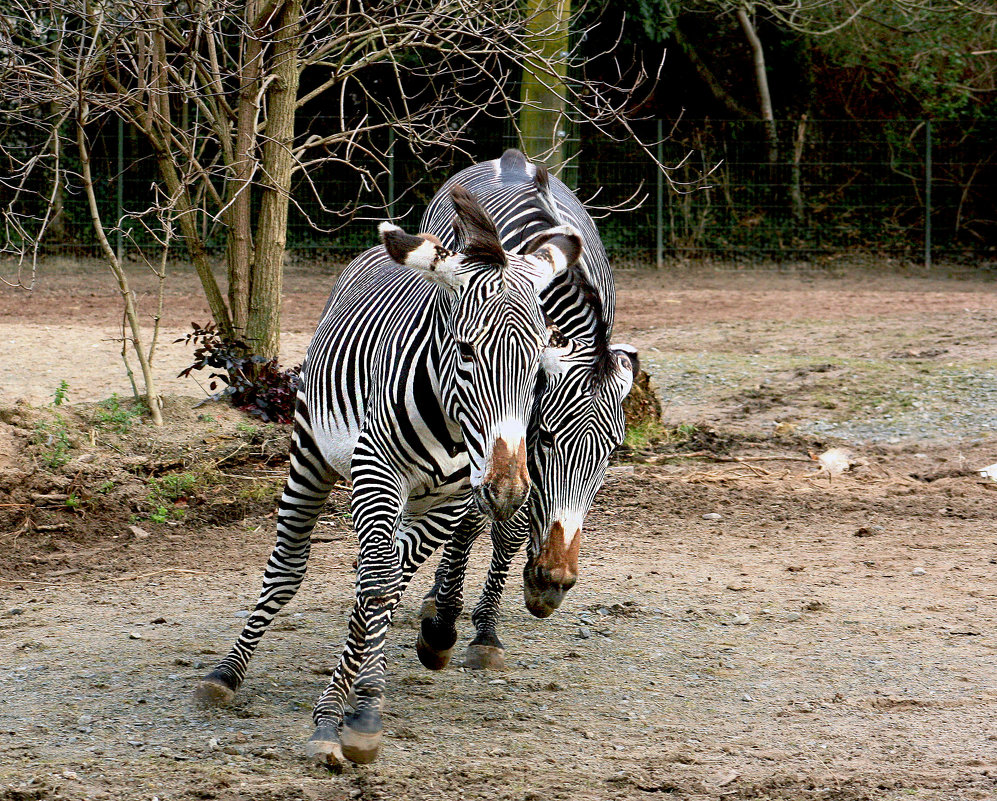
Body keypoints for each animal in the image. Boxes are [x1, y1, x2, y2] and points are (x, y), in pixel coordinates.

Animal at [195, 184, 584, 764]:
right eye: (466, 349)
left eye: (539, 362)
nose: (509, 490)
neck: (450, 426)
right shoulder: (375, 471)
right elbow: (376, 587)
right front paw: (356, 714)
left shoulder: (451, 498)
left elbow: (385, 584)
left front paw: (353, 701)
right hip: (311, 451)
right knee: (290, 568)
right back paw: (226, 673)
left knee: (387, 569)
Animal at [410, 148, 640, 668]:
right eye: (548, 438)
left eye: (610, 455)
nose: (554, 583)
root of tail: (510, 158)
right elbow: (477, 519)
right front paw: (446, 624)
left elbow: (511, 531)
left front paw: (486, 629)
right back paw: (437, 597)